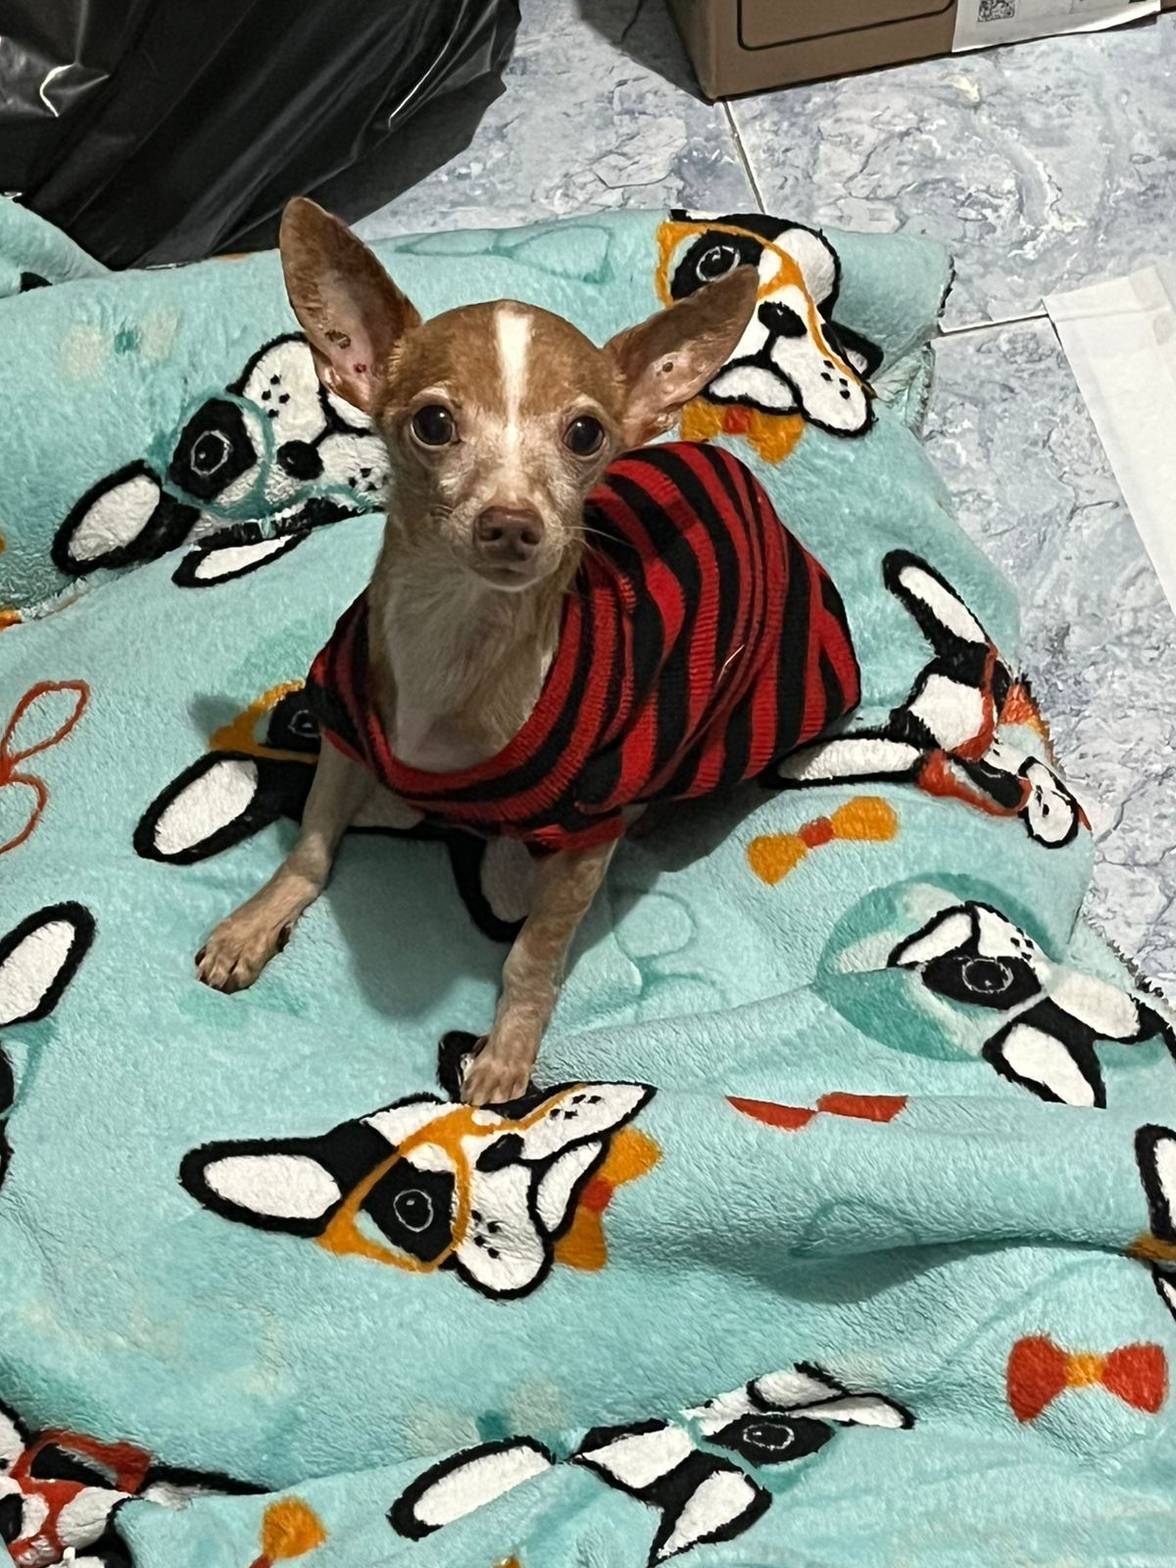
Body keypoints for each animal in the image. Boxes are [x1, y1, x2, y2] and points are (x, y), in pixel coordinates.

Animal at [195, 198, 861, 1105]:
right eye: (433, 424)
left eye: (585, 434)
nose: (511, 524)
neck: (456, 634)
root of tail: (742, 480)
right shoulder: (346, 723)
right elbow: (310, 846)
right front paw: (255, 923)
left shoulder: (588, 829)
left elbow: (532, 956)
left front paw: (508, 1051)